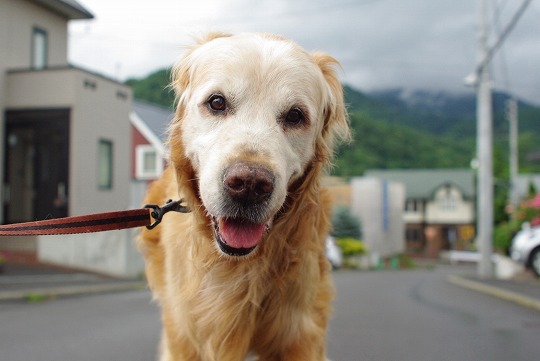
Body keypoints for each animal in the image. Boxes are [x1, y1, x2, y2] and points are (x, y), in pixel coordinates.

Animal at [139, 31, 350, 360]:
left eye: (295, 115)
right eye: (216, 102)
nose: (249, 185)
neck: (236, 263)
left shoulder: (301, 333)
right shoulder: (185, 334)